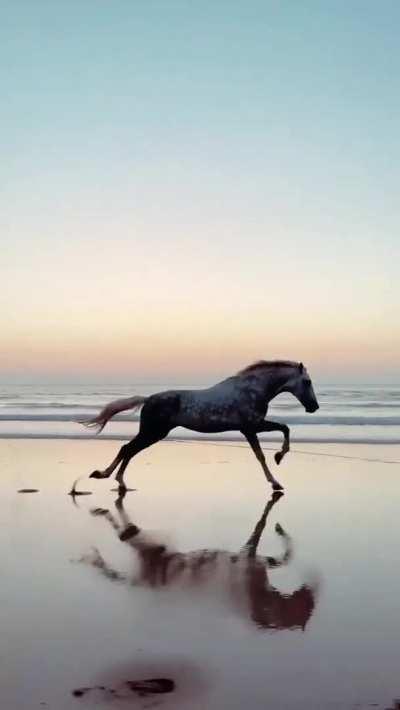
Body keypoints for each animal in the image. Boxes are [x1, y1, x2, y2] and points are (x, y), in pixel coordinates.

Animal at [81, 360, 319, 492]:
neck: (252, 390)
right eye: (307, 382)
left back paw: (115, 479)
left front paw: (277, 464)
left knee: (129, 450)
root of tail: (148, 399)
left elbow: (282, 430)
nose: (314, 407)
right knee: (128, 449)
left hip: (154, 433)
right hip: (153, 432)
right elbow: (270, 444)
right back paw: (110, 477)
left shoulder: (251, 428)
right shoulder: (251, 428)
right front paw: (276, 476)